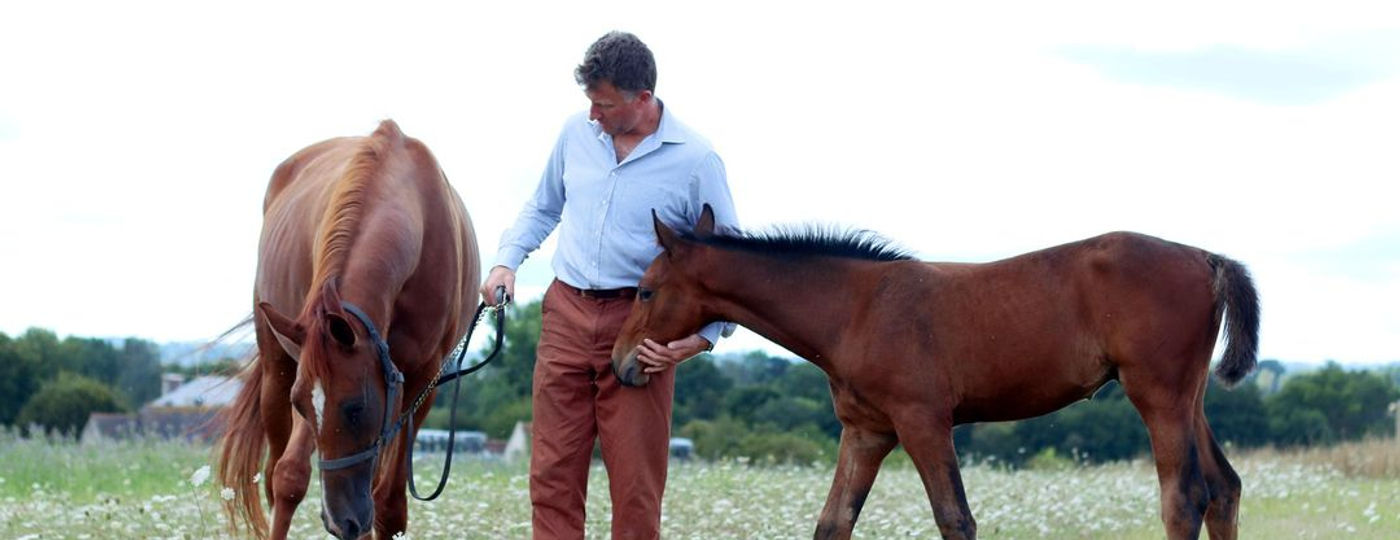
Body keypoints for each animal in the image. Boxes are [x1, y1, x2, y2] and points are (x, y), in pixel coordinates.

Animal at [217, 120, 480, 539]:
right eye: (299, 404)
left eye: (355, 408)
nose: (340, 521)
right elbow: (289, 478)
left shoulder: (420, 383)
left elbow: (388, 505)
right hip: (276, 371)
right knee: (278, 474)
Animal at [612, 205, 1259, 540]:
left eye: (644, 291)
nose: (620, 364)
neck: (857, 309)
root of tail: (1208, 258)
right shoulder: (866, 431)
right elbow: (833, 522)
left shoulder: (923, 422)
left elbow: (955, 519)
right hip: (1187, 398)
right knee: (1224, 488)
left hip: (1157, 395)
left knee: (1186, 497)